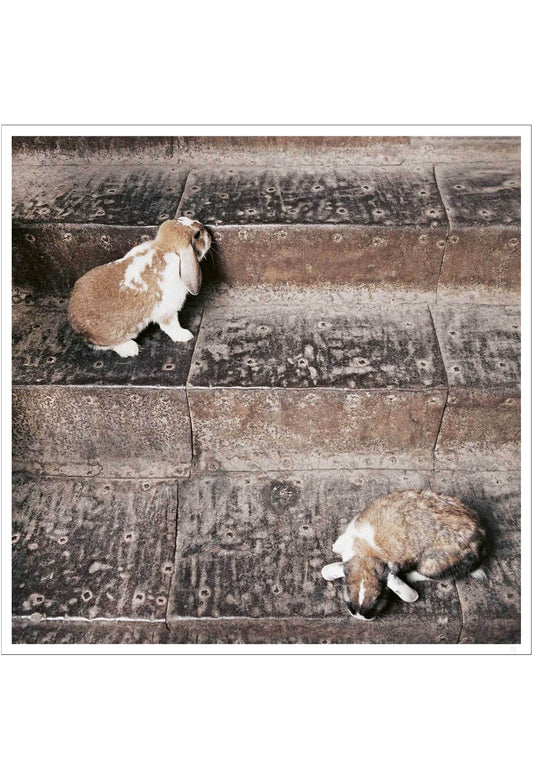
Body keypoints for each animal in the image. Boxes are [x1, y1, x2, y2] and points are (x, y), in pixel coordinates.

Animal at [65, 216, 209, 358]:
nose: (206, 230)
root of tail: (74, 322)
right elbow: (171, 325)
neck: (166, 248)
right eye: (197, 234)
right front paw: (185, 335)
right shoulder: (166, 309)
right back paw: (131, 349)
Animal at [320, 492, 486, 624]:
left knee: (440, 576)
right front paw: (335, 547)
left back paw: (411, 575)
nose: (361, 616)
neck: (367, 555)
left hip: (432, 564)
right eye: (348, 589)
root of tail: (481, 540)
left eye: (380, 595)